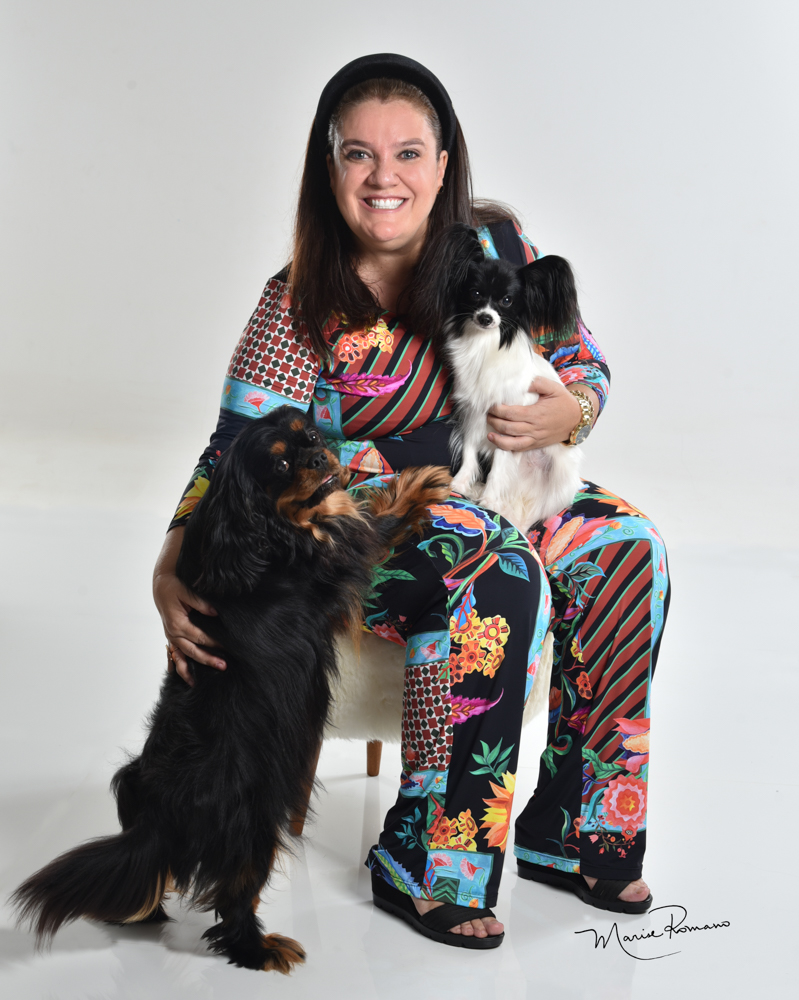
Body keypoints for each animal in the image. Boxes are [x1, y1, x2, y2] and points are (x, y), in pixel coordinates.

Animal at [11, 405, 451, 973]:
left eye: (310, 436)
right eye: (281, 466)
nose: (317, 456)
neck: (257, 527)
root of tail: (159, 820)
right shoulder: (338, 556)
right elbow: (377, 523)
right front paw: (418, 484)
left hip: (132, 784)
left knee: (153, 885)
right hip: (256, 823)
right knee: (232, 901)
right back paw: (261, 948)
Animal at [418, 223, 584, 532]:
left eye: (507, 301)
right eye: (475, 294)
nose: (486, 318)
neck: (484, 344)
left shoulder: (510, 425)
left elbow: (498, 466)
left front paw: (490, 501)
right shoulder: (473, 412)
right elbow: (470, 451)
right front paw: (460, 483)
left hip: (560, 474)